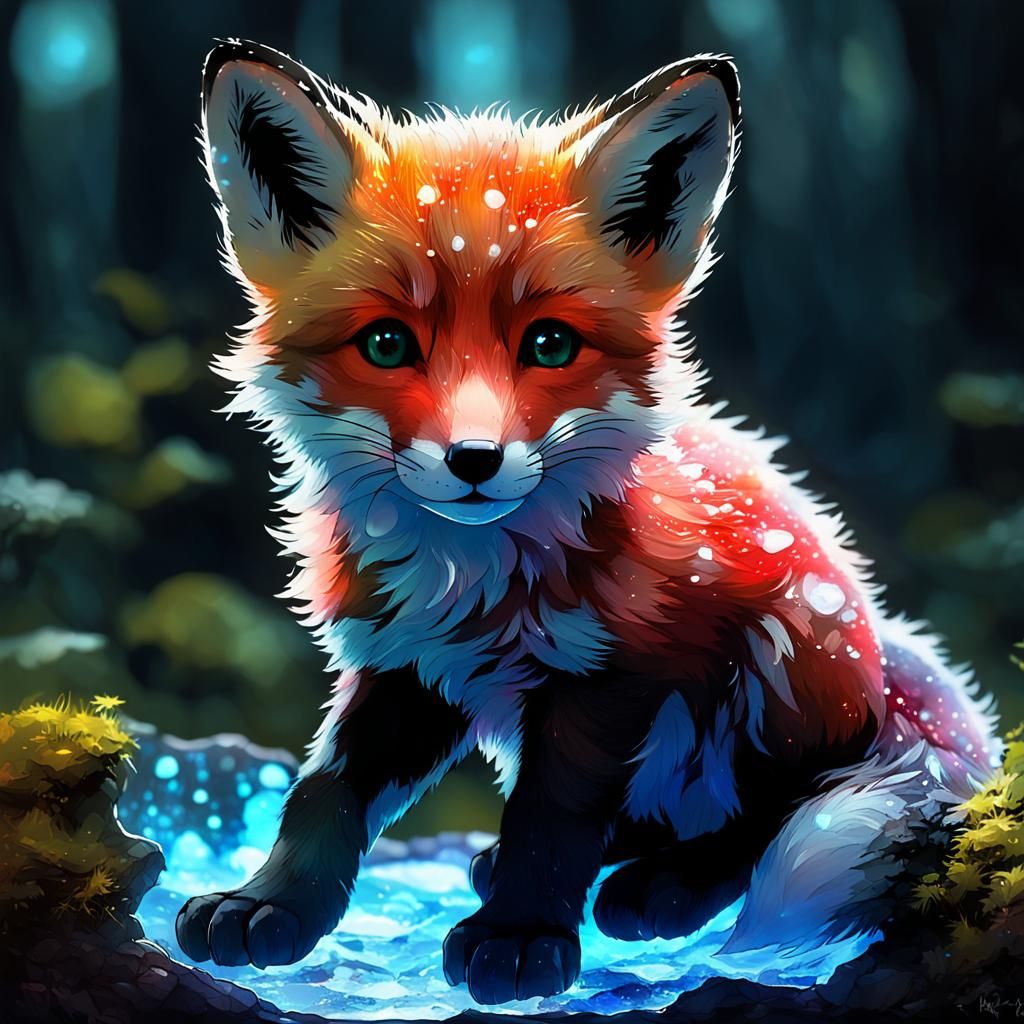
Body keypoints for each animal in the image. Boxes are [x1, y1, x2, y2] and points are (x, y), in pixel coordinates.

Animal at [176, 40, 1001, 1004]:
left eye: (550, 344)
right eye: (386, 343)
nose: (474, 461)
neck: (470, 579)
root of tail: (883, 647)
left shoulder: (613, 668)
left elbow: (554, 814)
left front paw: (522, 936)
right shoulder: (404, 661)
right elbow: (324, 795)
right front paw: (270, 905)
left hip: (780, 662)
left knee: (776, 809)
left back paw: (663, 889)